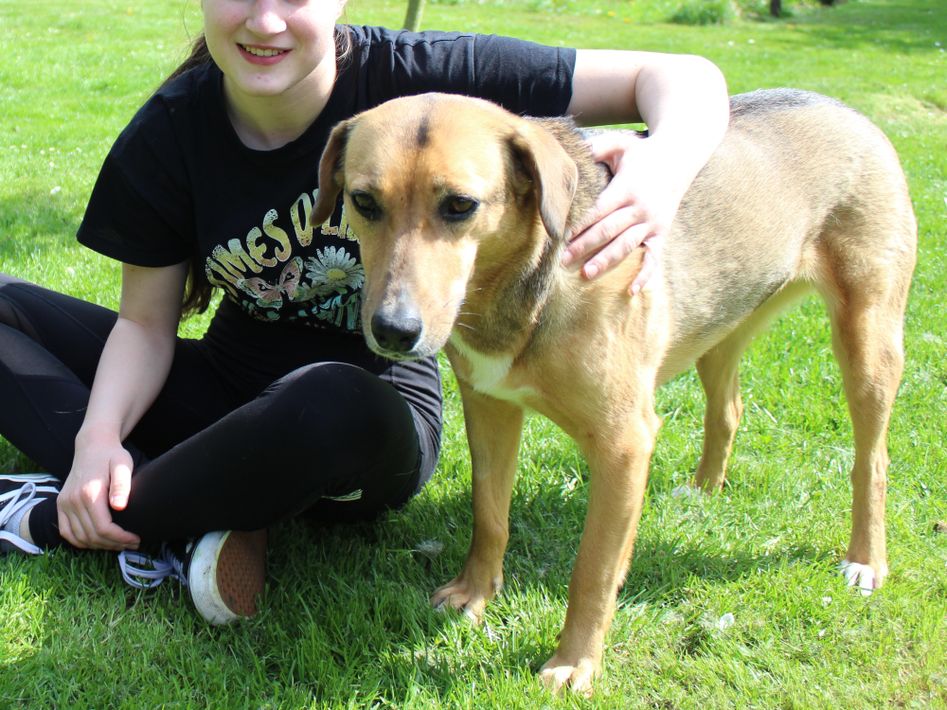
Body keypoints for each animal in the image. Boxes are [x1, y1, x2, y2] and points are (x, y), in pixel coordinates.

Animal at [312, 89, 917, 694]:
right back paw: (703, 491)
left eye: (460, 205)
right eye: (364, 201)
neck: (520, 286)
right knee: (728, 409)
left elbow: (594, 571)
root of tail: (838, 105)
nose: (394, 331)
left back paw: (866, 560)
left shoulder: (624, 444)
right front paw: (474, 595)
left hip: (868, 342)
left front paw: (574, 663)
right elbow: (490, 516)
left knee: (873, 460)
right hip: (719, 330)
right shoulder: (490, 409)